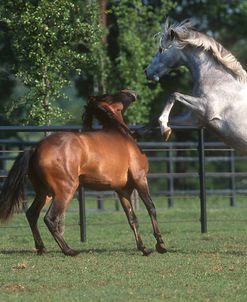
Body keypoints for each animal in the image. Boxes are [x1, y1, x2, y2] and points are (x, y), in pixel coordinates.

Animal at [0, 88, 166, 256]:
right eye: (110, 95)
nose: (130, 92)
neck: (122, 134)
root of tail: (35, 149)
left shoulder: (122, 190)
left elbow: (132, 218)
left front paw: (144, 248)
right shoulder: (140, 179)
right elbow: (151, 208)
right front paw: (160, 245)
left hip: (44, 193)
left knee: (32, 214)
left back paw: (42, 248)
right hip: (65, 190)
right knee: (50, 218)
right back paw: (69, 250)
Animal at [146, 17, 247, 152]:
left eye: (160, 50)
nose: (147, 72)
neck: (219, 81)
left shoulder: (206, 109)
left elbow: (174, 95)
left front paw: (164, 128)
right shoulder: (194, 119)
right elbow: (155, 121)